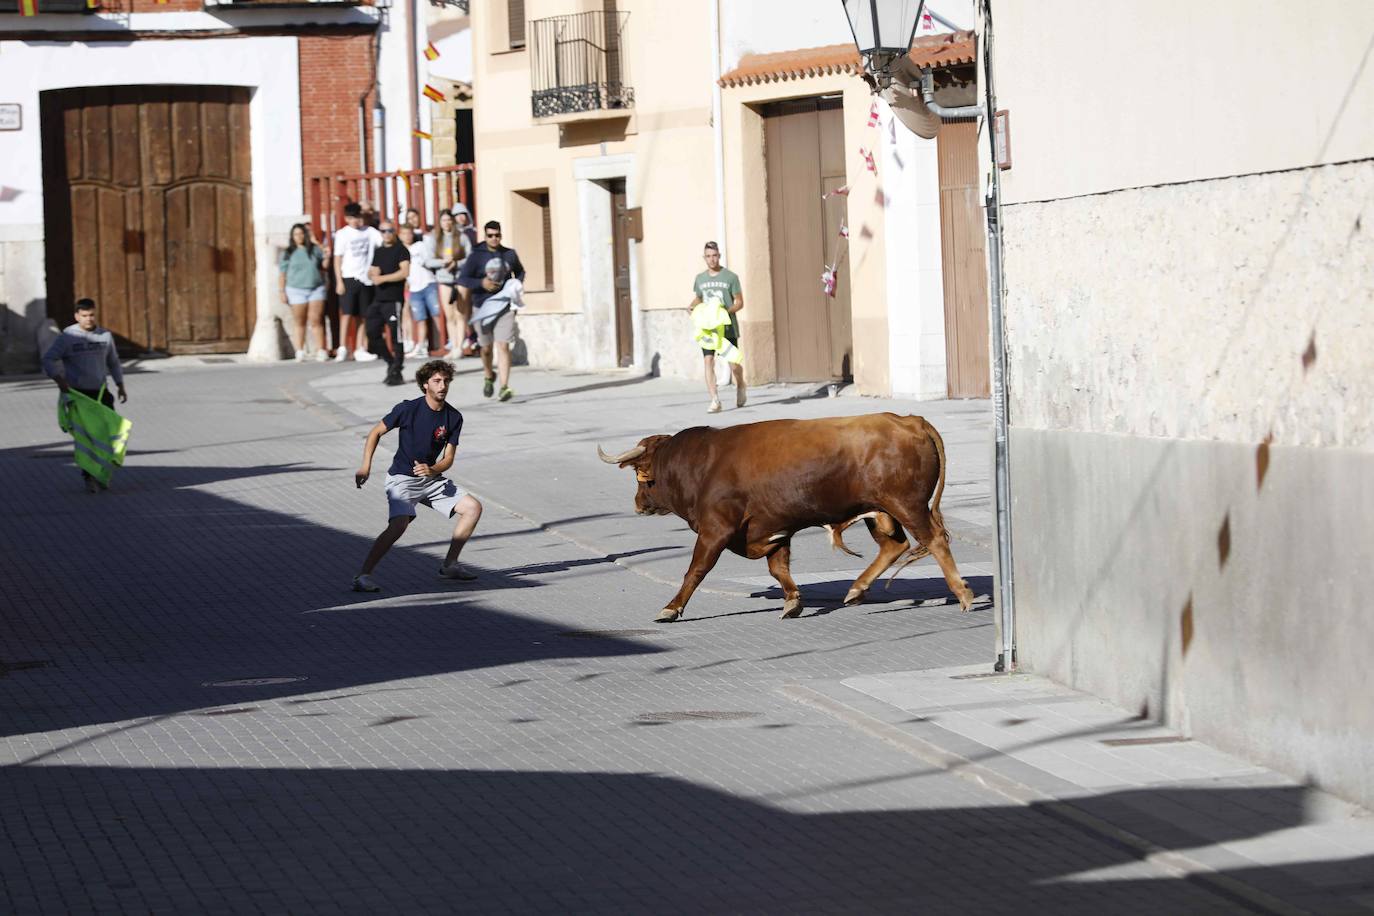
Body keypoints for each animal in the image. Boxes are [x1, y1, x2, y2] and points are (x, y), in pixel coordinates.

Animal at [596, 414, 972, 623]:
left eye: (641, 477)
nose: (638, 504)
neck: (701, 464)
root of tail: (908, 419)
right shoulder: (774, 527)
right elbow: (779, 569)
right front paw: (792, 602)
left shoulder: (716, 529)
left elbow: (696, 570)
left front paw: (671, 608)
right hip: (881, 511)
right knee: (894, 546)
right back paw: (856, 589)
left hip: (907, 505)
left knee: (934, 540)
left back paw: (963, 594)